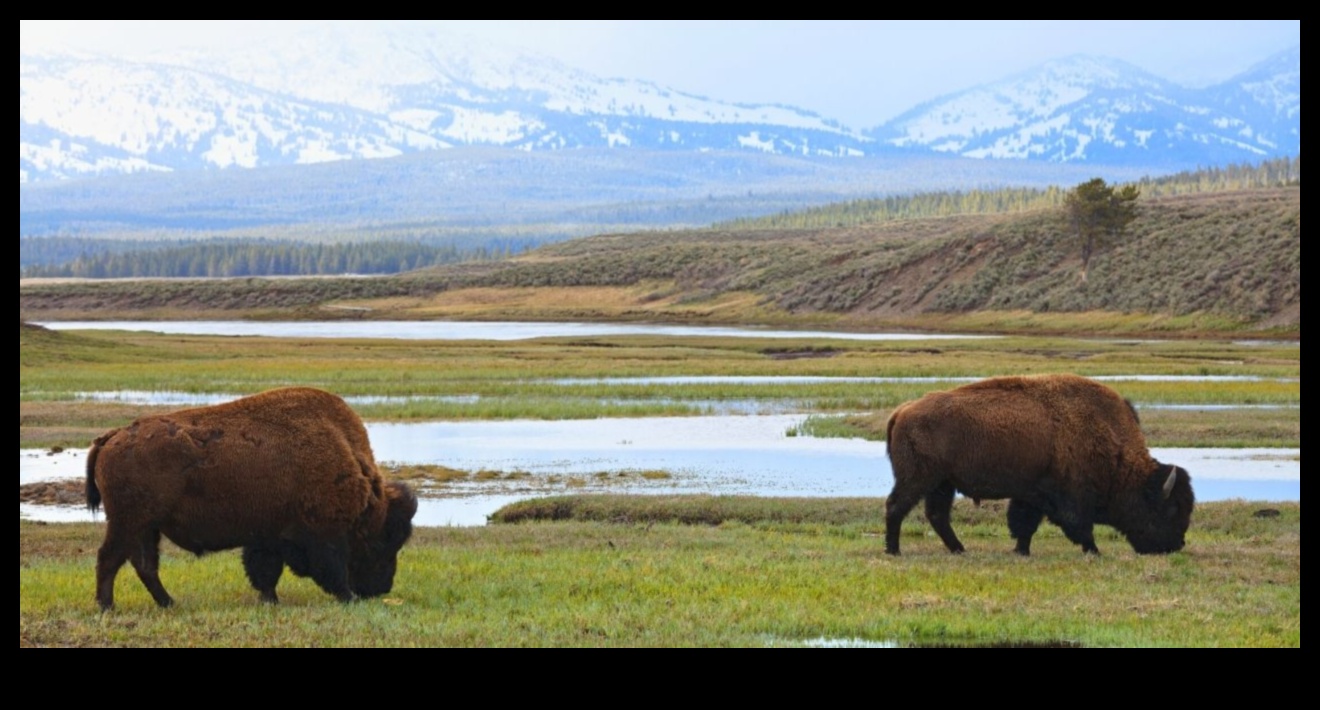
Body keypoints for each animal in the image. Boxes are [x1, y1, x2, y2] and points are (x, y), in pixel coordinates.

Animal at [86, 385, 417, 604]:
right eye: (382, 540)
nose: (382, 588)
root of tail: (112, 437)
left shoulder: (268, 536)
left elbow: (265, 571)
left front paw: (270, 600)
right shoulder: (325, 536)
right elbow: (330, 569)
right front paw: (347, 597)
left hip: (146, 527)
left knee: (144, 565)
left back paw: (169, 604)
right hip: (129, 523)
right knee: (110, 558)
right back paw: (107, 607)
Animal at [887, 372, 1198, 554]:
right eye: (1171, 508)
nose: (1177, 544)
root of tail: (902, 411)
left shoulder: (1031, 493)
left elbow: (1025, 524)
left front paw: (1021, 551)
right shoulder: (1070, 497)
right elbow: (1079, 526)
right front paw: (1094, 550)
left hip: (942, 484)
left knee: (937, 515)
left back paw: (959, 549)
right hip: (918, 479)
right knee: (896, 507)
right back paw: (894, 550)